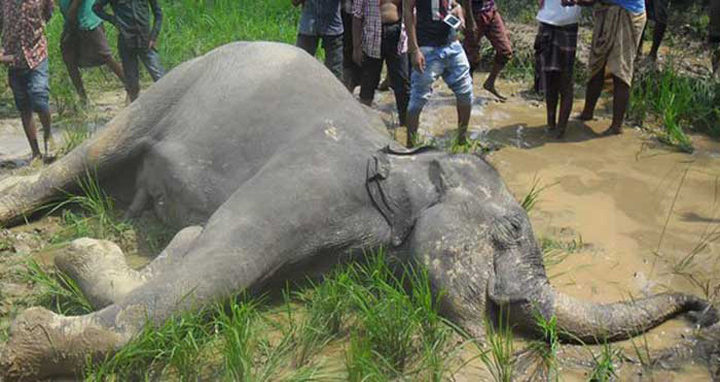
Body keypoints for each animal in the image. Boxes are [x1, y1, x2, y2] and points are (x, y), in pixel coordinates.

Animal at [0, 41, 716, 380]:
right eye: (511, 229)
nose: (700, 306)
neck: (405, 159)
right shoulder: (309, 178)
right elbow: (220, 265)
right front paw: (30, 334)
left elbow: (207, 259)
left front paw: (105, 255)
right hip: (176, 82)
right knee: (92, 154)